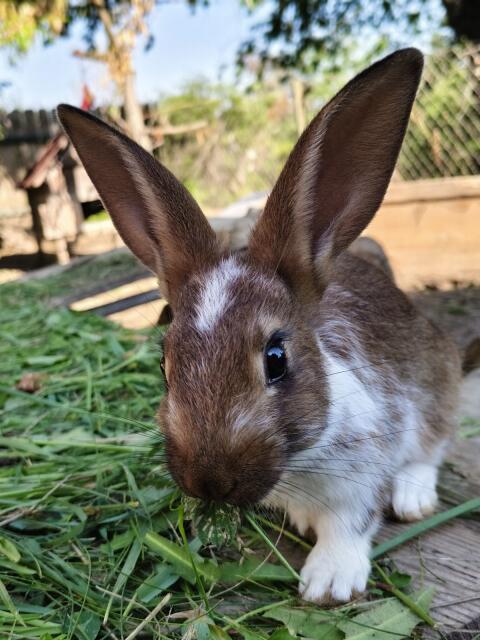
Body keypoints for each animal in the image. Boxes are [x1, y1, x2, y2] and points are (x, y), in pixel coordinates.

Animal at [57, 47, 461, 604]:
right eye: (164, 366)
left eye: (276, 359)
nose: (208, 481)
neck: (298, 461)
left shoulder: (367, 468)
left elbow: (350, 525)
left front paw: (328, 582)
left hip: (437, 381)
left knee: (434, 444)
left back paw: (412, 496)